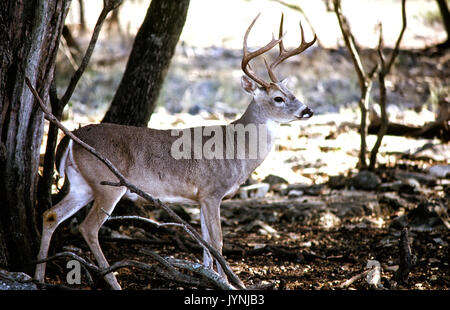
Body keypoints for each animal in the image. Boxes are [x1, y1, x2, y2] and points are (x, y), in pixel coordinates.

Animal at [35, 13, 316, 290]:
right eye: (278, 98)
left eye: (291, 92)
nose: (308, 110)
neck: (237, 148)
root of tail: (71, 140)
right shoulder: (213, 191)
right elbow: (217, 242)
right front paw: (230, 283)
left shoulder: (200, 198)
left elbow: (205, 243)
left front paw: (208, 279)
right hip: (108, 184)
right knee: (88, 227)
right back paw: (112, 282)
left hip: (82, 183)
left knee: (51, 214)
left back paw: (39, 276)